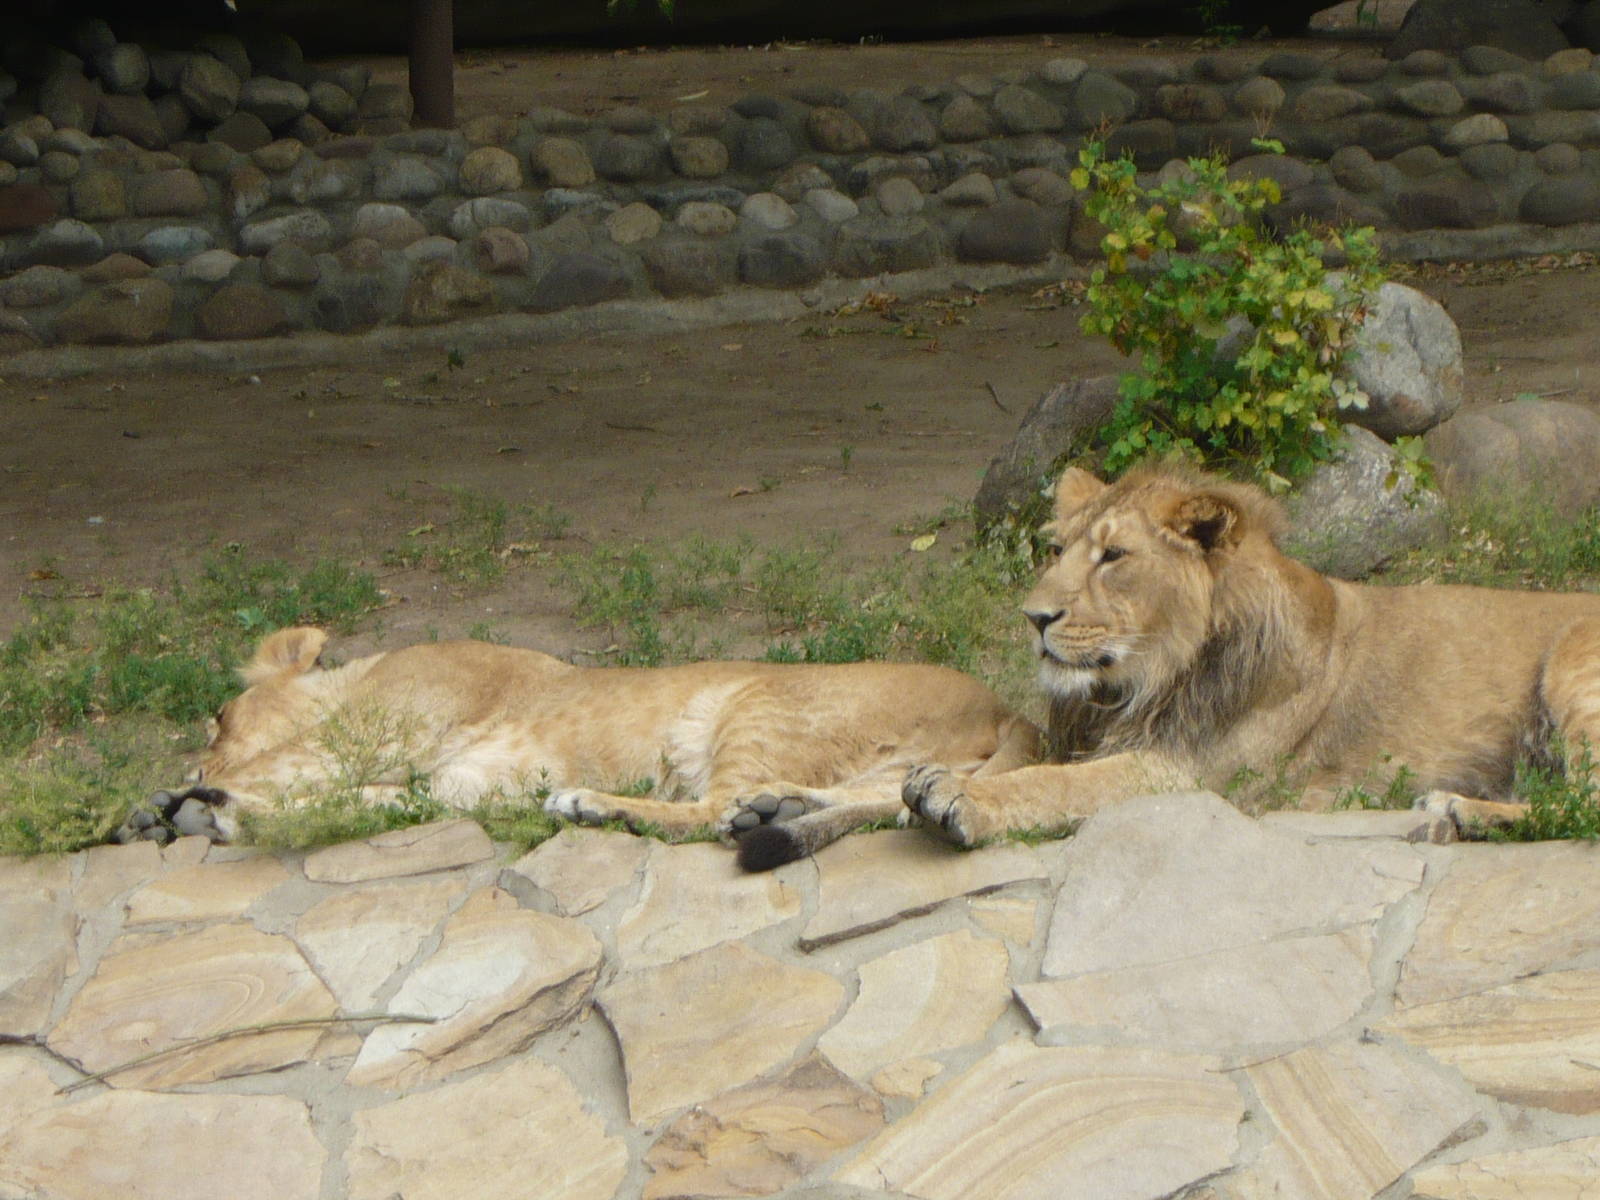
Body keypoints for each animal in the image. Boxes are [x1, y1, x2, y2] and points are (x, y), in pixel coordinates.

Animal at [116, 626, 1040, 867]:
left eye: (217, 719)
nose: (196, 762)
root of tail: (1007, 708)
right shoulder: (447, 782)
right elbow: (349, 803)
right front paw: (189, 809)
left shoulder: (393, 726)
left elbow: (292, 772)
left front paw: (194, 803)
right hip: (871, 767)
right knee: (861, 800)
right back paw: (773, 810)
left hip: (752, 700)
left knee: (707, 814)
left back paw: (591, 805)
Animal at [850, 462, 1598, 853]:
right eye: (1058, 551)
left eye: (1113, 556)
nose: (1034, 618)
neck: (1135, 683)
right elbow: (1034, 766)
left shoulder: (1190, 774)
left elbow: (1056, 785)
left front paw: (954, 795)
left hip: (1575, 664)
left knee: (1584, 806)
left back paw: (1459, 809)